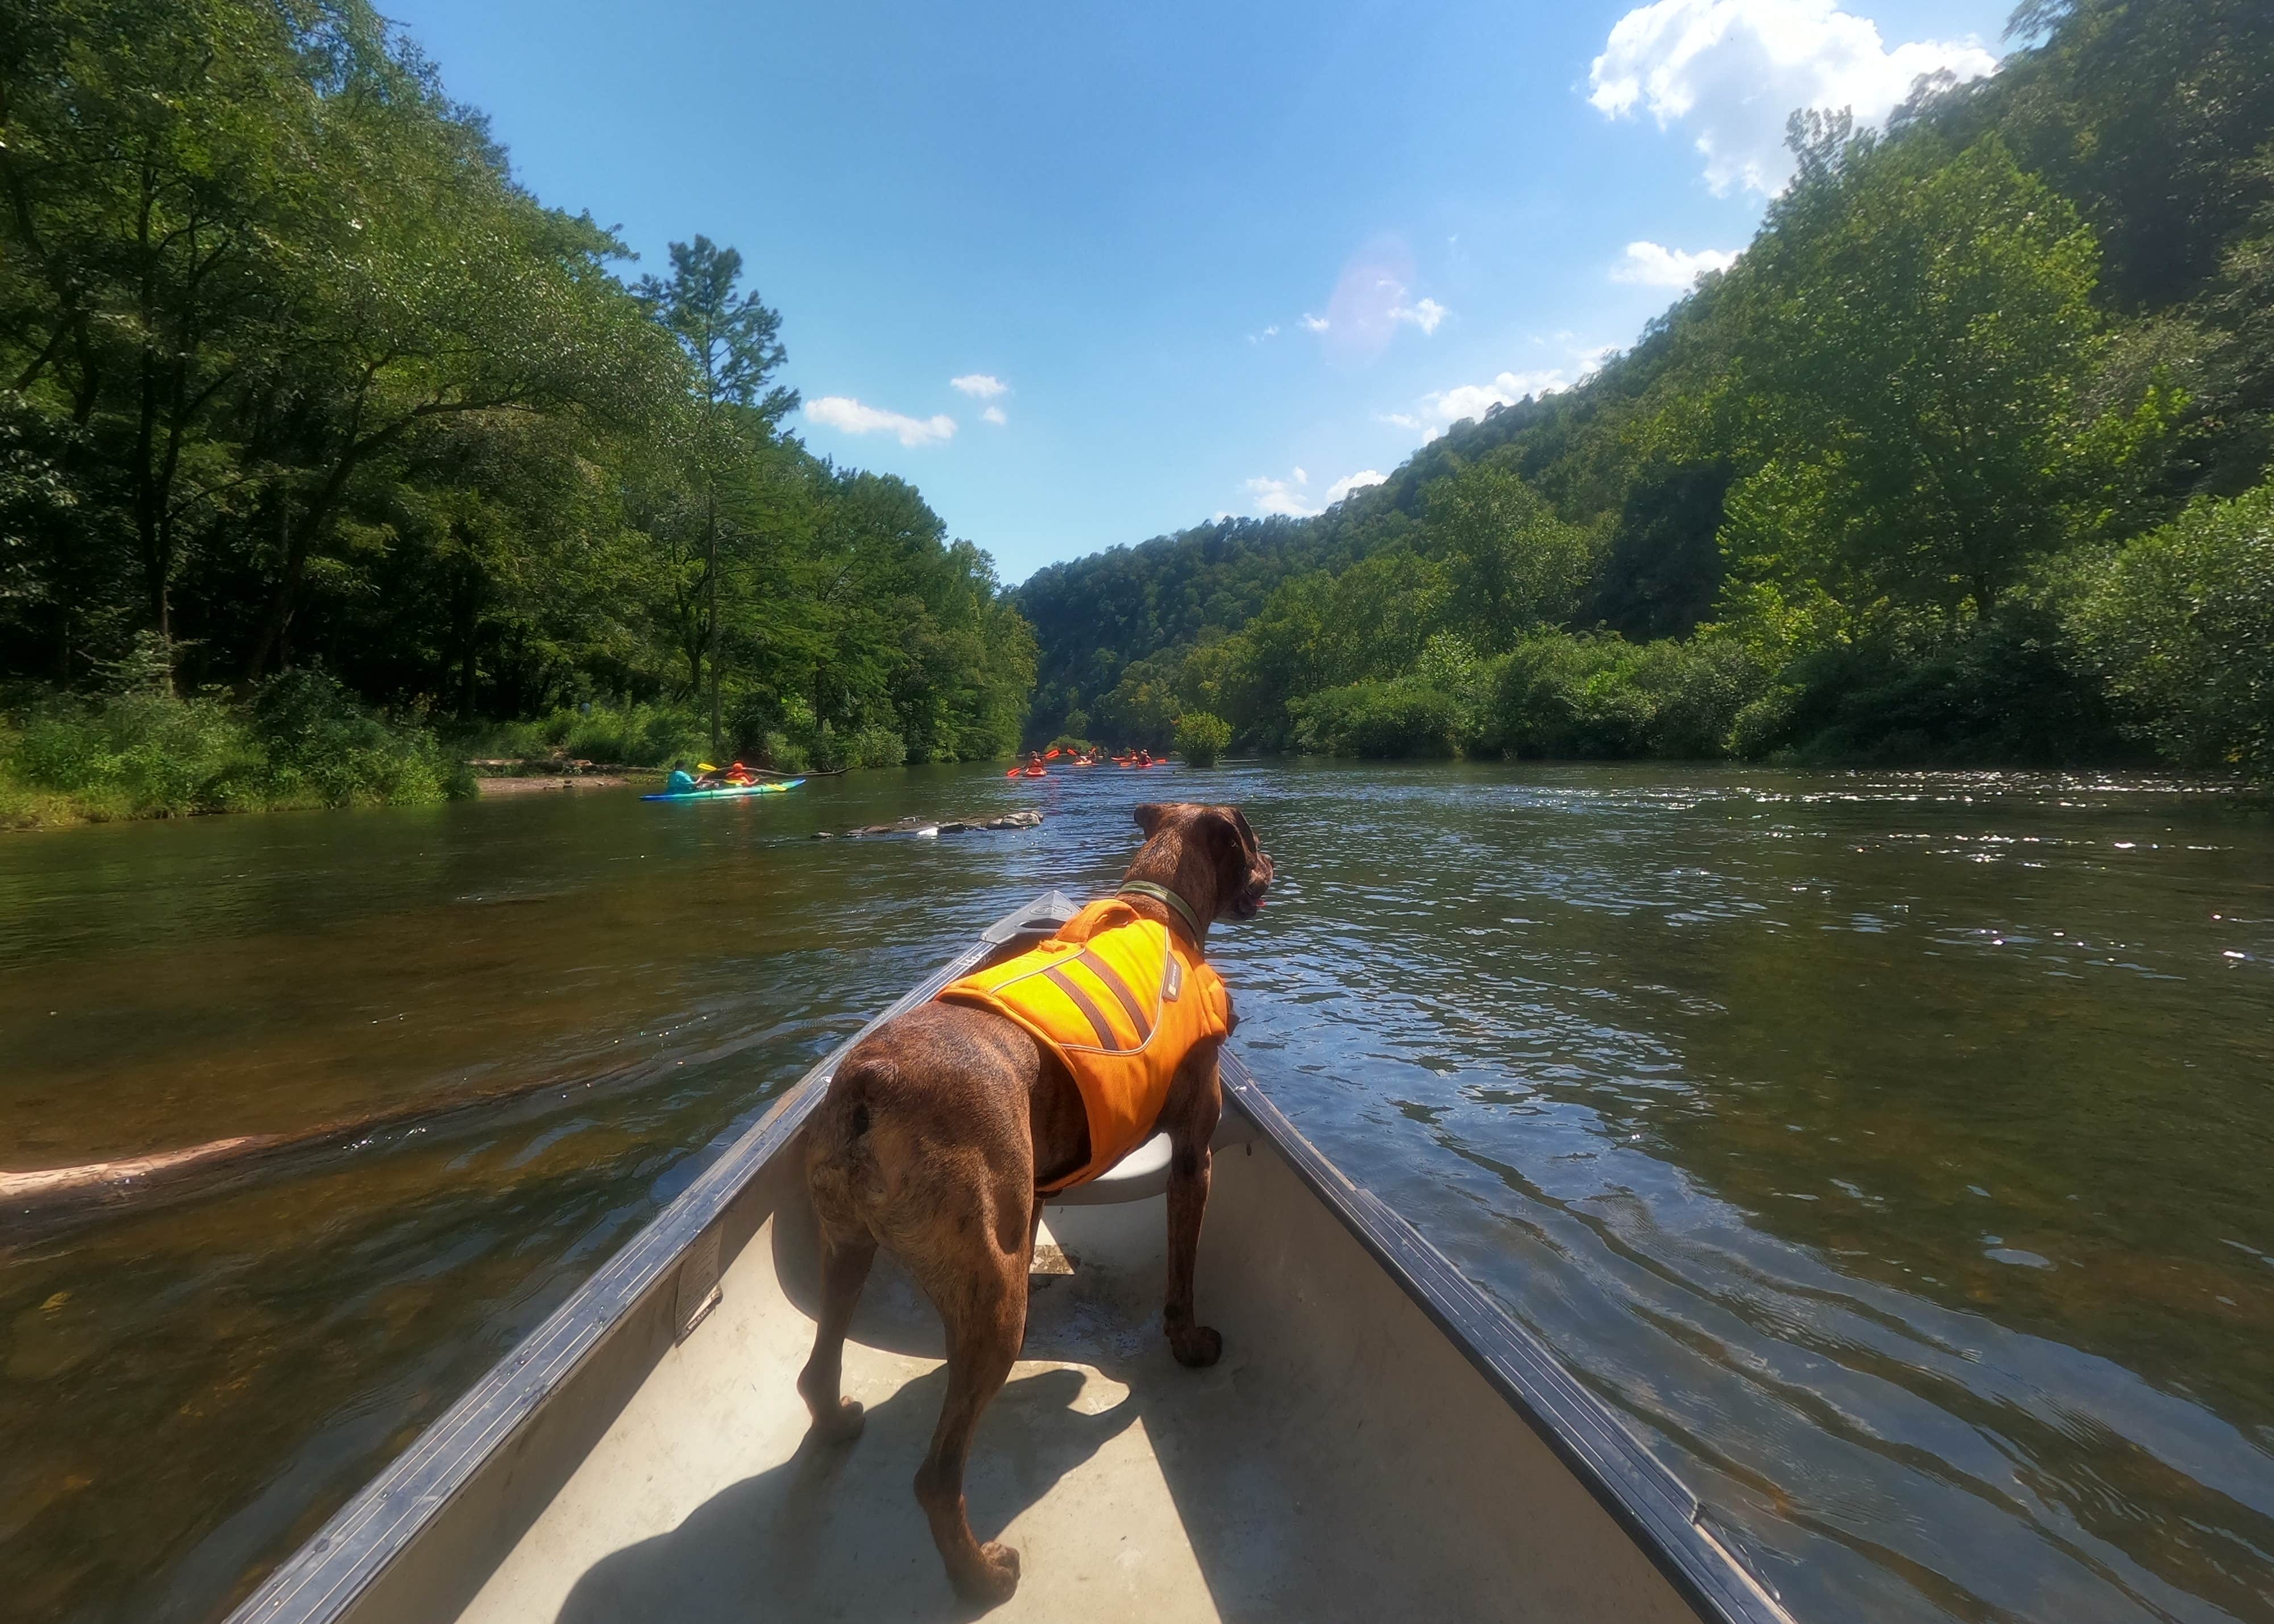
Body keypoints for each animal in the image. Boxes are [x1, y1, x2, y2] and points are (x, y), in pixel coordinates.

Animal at [791, 796, 1273, 1592]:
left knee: (816, 1369)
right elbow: (1181, 1274)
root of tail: (869, 1085)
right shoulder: (1193, 1157)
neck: (1160, 902)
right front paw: (1188, 1343)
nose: (1274, 867)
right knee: (936, 1476)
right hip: (990, 1299)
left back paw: (837, 1424)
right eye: (1254, 843)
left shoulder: (1038, 1189)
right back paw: (982, 1574)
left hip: (846, 1248)